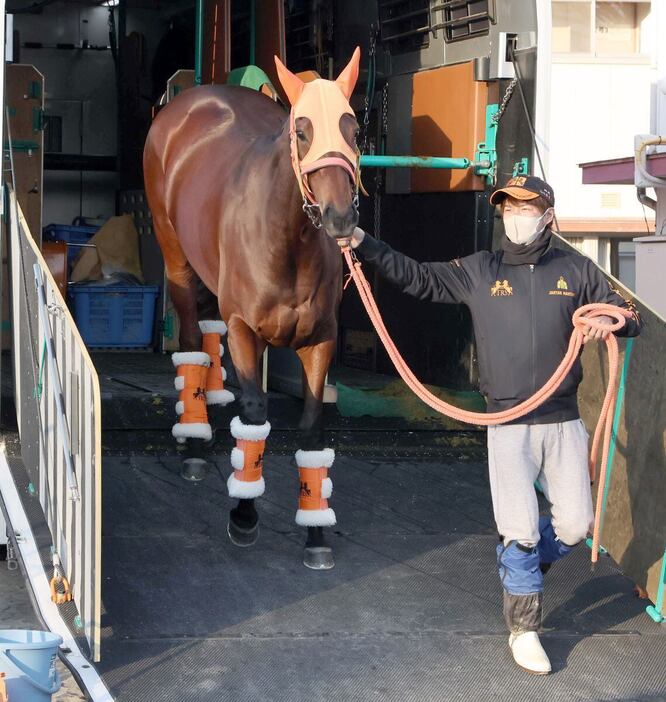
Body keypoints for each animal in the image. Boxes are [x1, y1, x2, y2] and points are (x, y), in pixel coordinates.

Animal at [145, 49, 360, 568]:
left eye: (353, 127)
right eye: (301, 129)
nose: (341, 217)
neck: (288, 242)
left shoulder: (319, 339)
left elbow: (311, 430)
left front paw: (316, 531)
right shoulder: (245, 330)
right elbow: (257, 418)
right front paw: (244, 513)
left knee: (207, 331)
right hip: (176, 256)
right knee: (189, 341)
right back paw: (193, 441)